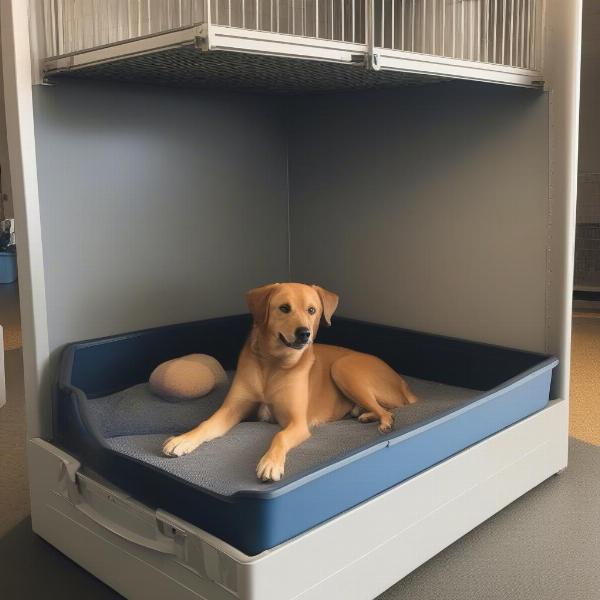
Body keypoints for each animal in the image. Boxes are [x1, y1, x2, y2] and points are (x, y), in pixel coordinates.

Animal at [164, 282, 418, 482]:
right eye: (284, 308)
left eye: (312, 310)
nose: (304, 333)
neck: (272, 364)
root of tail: (404, 384)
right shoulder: (231, 409)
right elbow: (206, 424)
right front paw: (183, 440)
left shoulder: (297, 423)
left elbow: (280, 436)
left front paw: (270, 463)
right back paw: (364, 415)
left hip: (343, 368)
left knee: (388, 412)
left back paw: (381, 422)